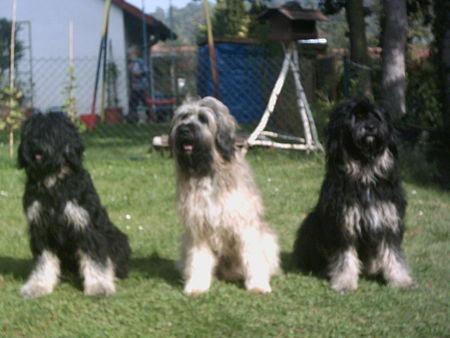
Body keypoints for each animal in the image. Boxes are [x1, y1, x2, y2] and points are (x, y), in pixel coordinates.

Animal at [19, 112, 132, 298]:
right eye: (30, 131)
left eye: (51, 131)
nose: (34, 142)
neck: (53, 182)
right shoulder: (40, 228)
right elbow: (43, 262)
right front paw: (38, 286)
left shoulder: (86, 225)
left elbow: (95, 258)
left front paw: (99, 286)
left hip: (118, 238)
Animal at [171, 96, 280, 294]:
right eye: (183, 117)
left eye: (203, 119)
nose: (183, 130)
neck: (208, 171)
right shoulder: (198, 227)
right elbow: (198, 258)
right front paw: (196, 285)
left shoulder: (244, 223)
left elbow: (252, 257)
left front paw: (258, 285)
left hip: (267, 239)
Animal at [292, 98, 414, 294]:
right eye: (354, 118)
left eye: (376, 117)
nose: (370, 127)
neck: (365, 173)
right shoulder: (343, 223)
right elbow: (345, 258)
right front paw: (344, 283)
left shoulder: (388, 220)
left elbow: (394, 255)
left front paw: (401, 280)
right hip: (311, 223)